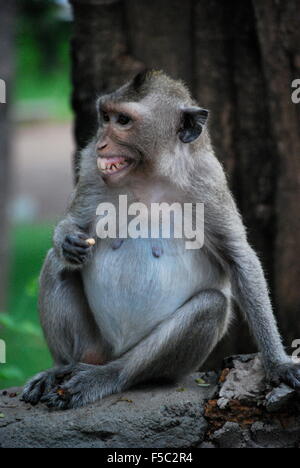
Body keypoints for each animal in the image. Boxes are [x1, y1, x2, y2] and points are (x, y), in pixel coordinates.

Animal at [22, 70, 300, 410]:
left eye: (123, 120)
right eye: (105, 116)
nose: (101, 142)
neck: (150, 176)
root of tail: (109, 354)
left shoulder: (208, 181)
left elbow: (239, 258)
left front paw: (278, 363)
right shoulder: (89, 167)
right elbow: (73, 224)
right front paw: (67, 240)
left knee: (210, 305)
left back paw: (106, 376)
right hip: (94, 344)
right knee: (55, 265)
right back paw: (61, 367)